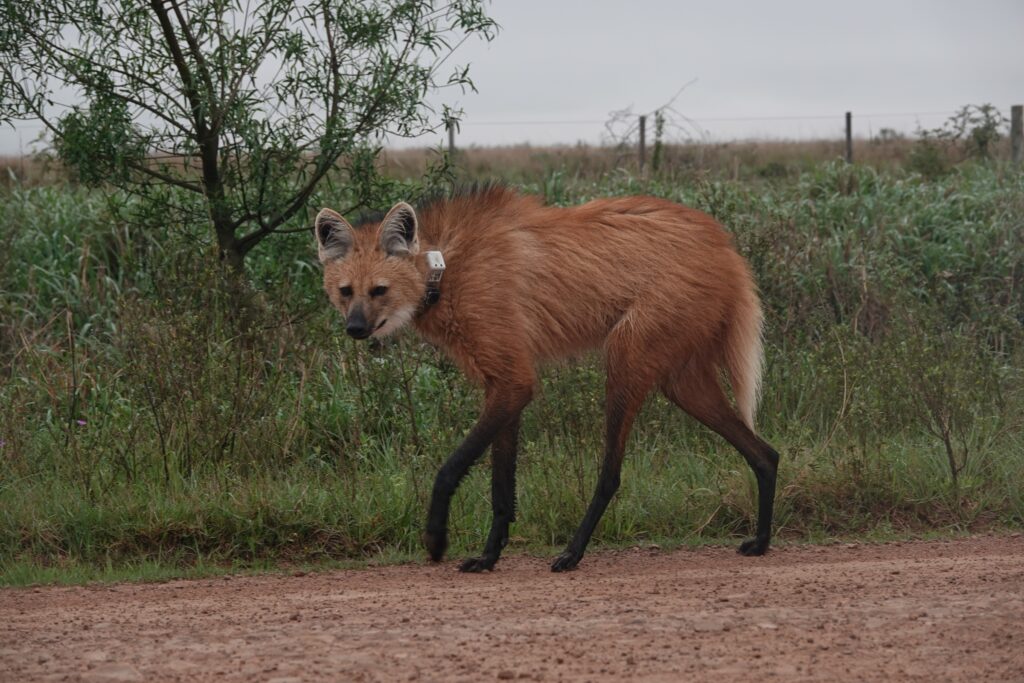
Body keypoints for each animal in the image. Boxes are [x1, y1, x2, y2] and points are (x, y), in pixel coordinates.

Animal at [315, 184, 778, 573]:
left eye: (379, 290)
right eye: (346, 291)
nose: (355, 329)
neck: (444, 269)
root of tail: (726, 246)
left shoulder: (514, 380)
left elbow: (450, 469)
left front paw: (436, 540)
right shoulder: (503, 384)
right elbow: (502, 489)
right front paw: (488, 557)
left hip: (626, 358)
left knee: (611, 474)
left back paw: (572, 553)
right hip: (681, 382)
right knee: (765, 453)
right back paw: (761, 541)